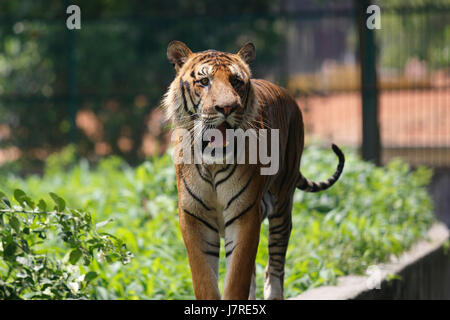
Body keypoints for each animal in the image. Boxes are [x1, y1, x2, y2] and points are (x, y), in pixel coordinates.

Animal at [162, 40, 344, 300]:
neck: (212, 162)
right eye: (204, 81)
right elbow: (205, 281)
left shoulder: (245, 214)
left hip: (282, 204)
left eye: (236, 81)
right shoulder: (193, 217)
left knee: (275, 265)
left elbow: (237, 278)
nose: (227, 108)